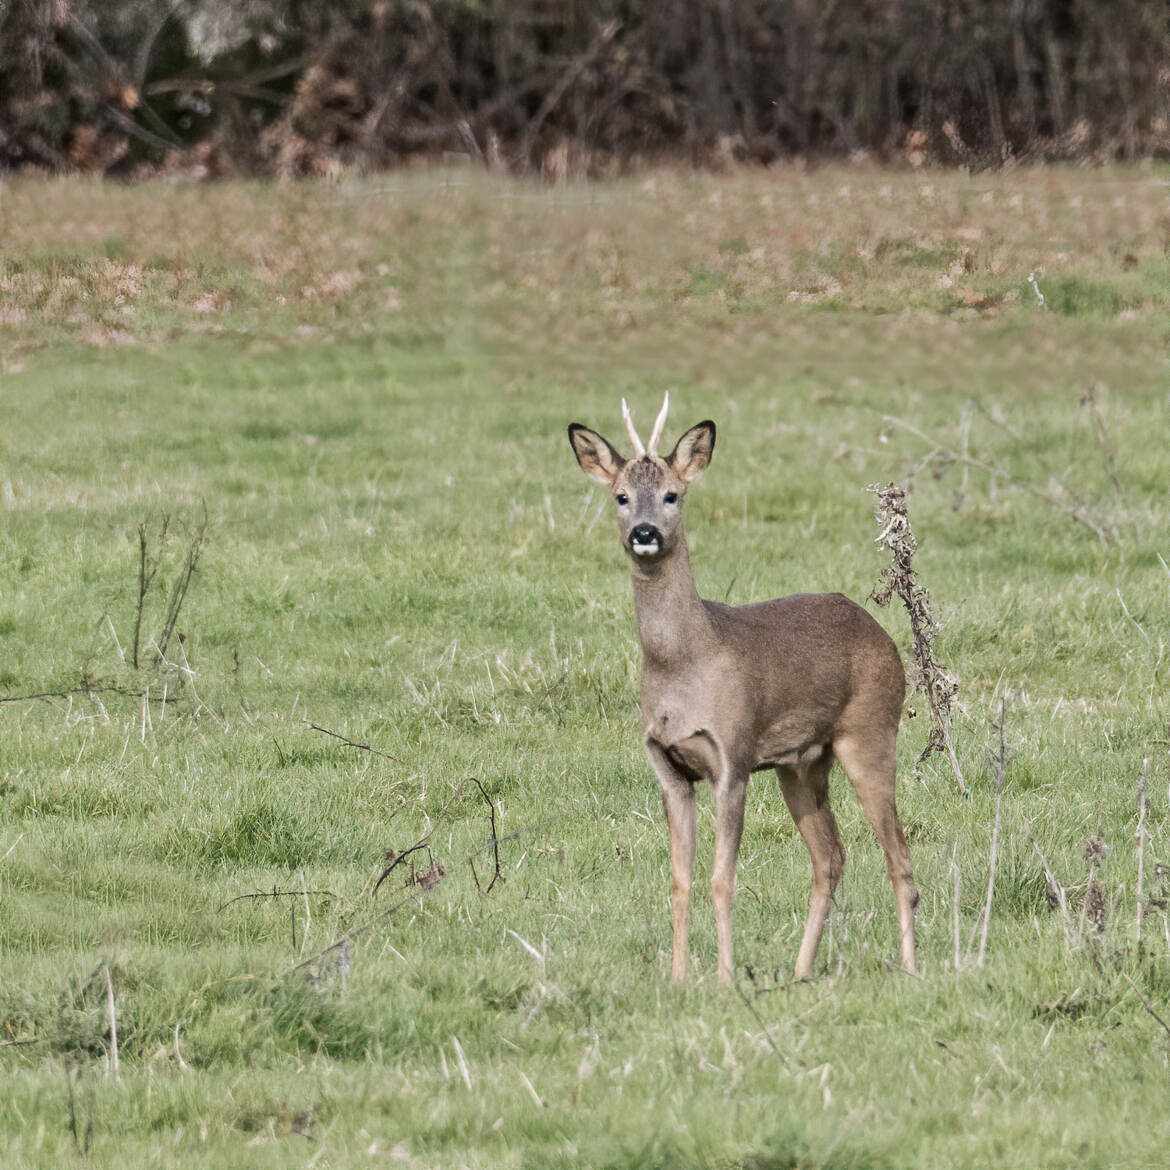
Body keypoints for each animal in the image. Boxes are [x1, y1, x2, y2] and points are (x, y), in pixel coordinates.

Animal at [570, 397, 917, 982]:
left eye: (673, 494)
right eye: (620, 496)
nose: (645, 532)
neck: (684, 666)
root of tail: (880, 632)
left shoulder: (732, 756)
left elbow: (721, 880)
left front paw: (726, 979)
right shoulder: (668, 768)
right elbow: (679, 882)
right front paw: (678, 978)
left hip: (870, 731)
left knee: (899, 856)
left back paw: (911, 968)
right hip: (800, 763)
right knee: (831, 856)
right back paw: (800, 973)